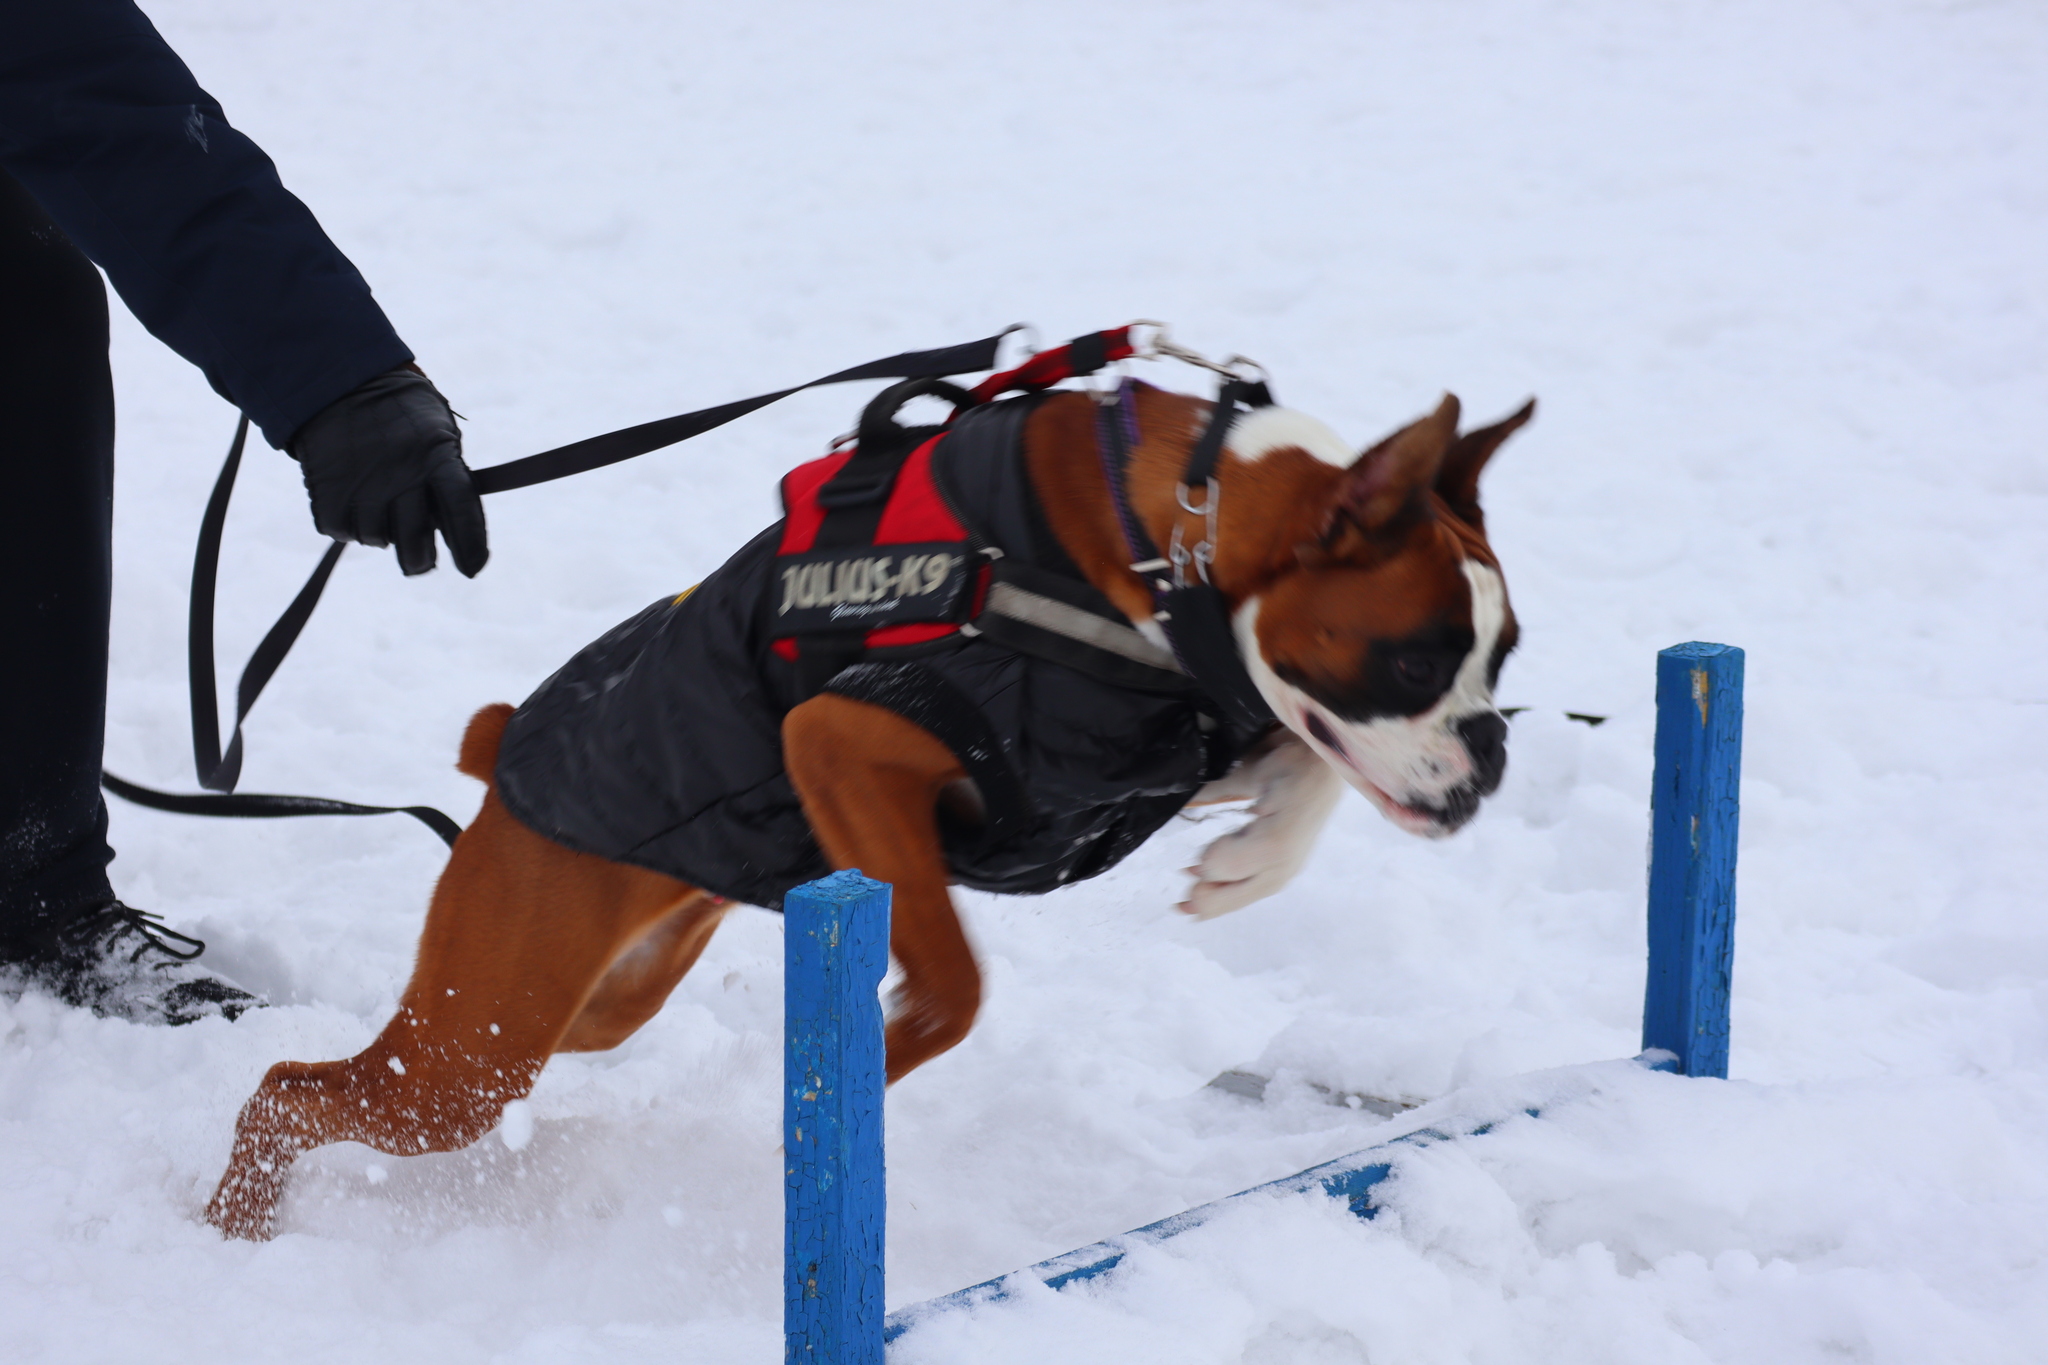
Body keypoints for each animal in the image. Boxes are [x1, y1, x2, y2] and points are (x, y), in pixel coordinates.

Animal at [203, 360, 1540, 1236]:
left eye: (1500, 656)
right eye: (1413, 662)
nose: (1488, 754)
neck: (1160, 542)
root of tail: (503, 758)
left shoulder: (1168, 738)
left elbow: (1301, 757)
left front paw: (1247, 862)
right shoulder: (848, 749)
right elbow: (954, 979)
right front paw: (861, 1071)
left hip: (580, 1003)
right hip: (472, 1058)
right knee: (290, 1091)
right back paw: (233, 1227)